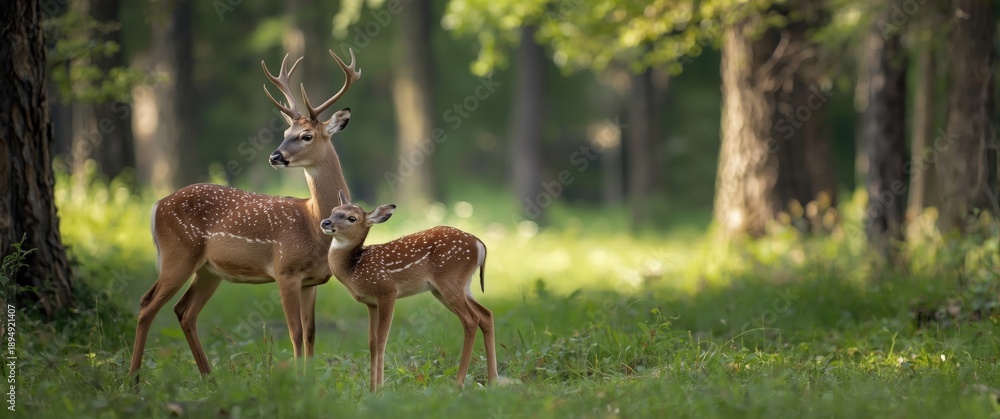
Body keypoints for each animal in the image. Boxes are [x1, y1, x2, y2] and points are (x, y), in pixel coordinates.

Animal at [128, 49, 361, 384]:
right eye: (285, 133)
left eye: (306, 136)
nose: (275, 156)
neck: (313, 223)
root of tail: (157, 205)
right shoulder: (285, 270)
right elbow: (295, 332)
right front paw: (298, 382)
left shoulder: (312, 280)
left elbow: (311, 333)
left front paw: (310, 381)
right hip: (178, 254)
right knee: (147, 305)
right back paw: (133, 381)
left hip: (208, 270)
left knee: (184, 311)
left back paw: (210, 379)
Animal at [321, 191, 498, 391]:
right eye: (334, 210)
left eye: (352, 218)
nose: (326, 222)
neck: (353, 268)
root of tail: (479, 244)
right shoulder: (370, 303)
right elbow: (372, 342)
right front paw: (372, 389)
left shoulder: (386, 290)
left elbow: (381, 339)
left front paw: (379, 389)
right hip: (453, 287)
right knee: (486, 314)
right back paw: (492, 382)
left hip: (450, 279)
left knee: (471, 319)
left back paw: (458, 384)